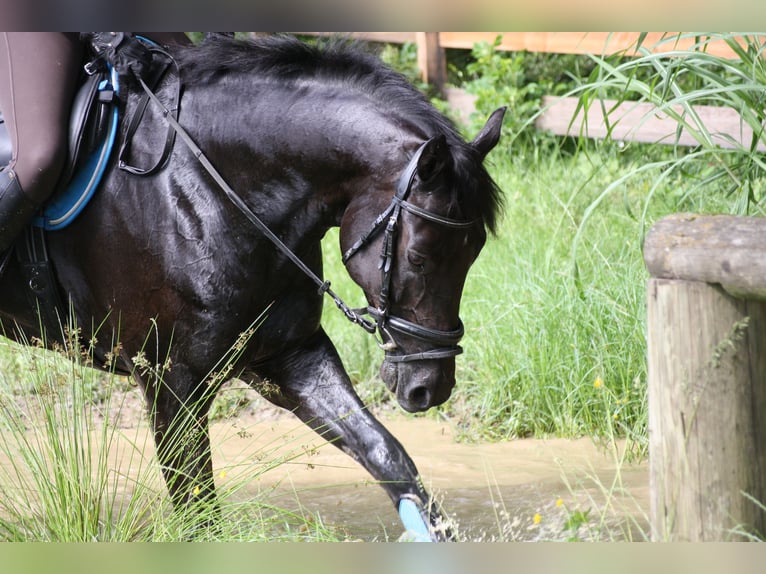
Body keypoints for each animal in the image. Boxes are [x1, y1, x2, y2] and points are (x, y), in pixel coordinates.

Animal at [0, 35, 504, 540]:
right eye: (419, 257)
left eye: (475, 252)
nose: (430, 388)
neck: (204, 188)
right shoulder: (169, 381)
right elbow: (199, 513)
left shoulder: (288, 356)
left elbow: (386, 454)